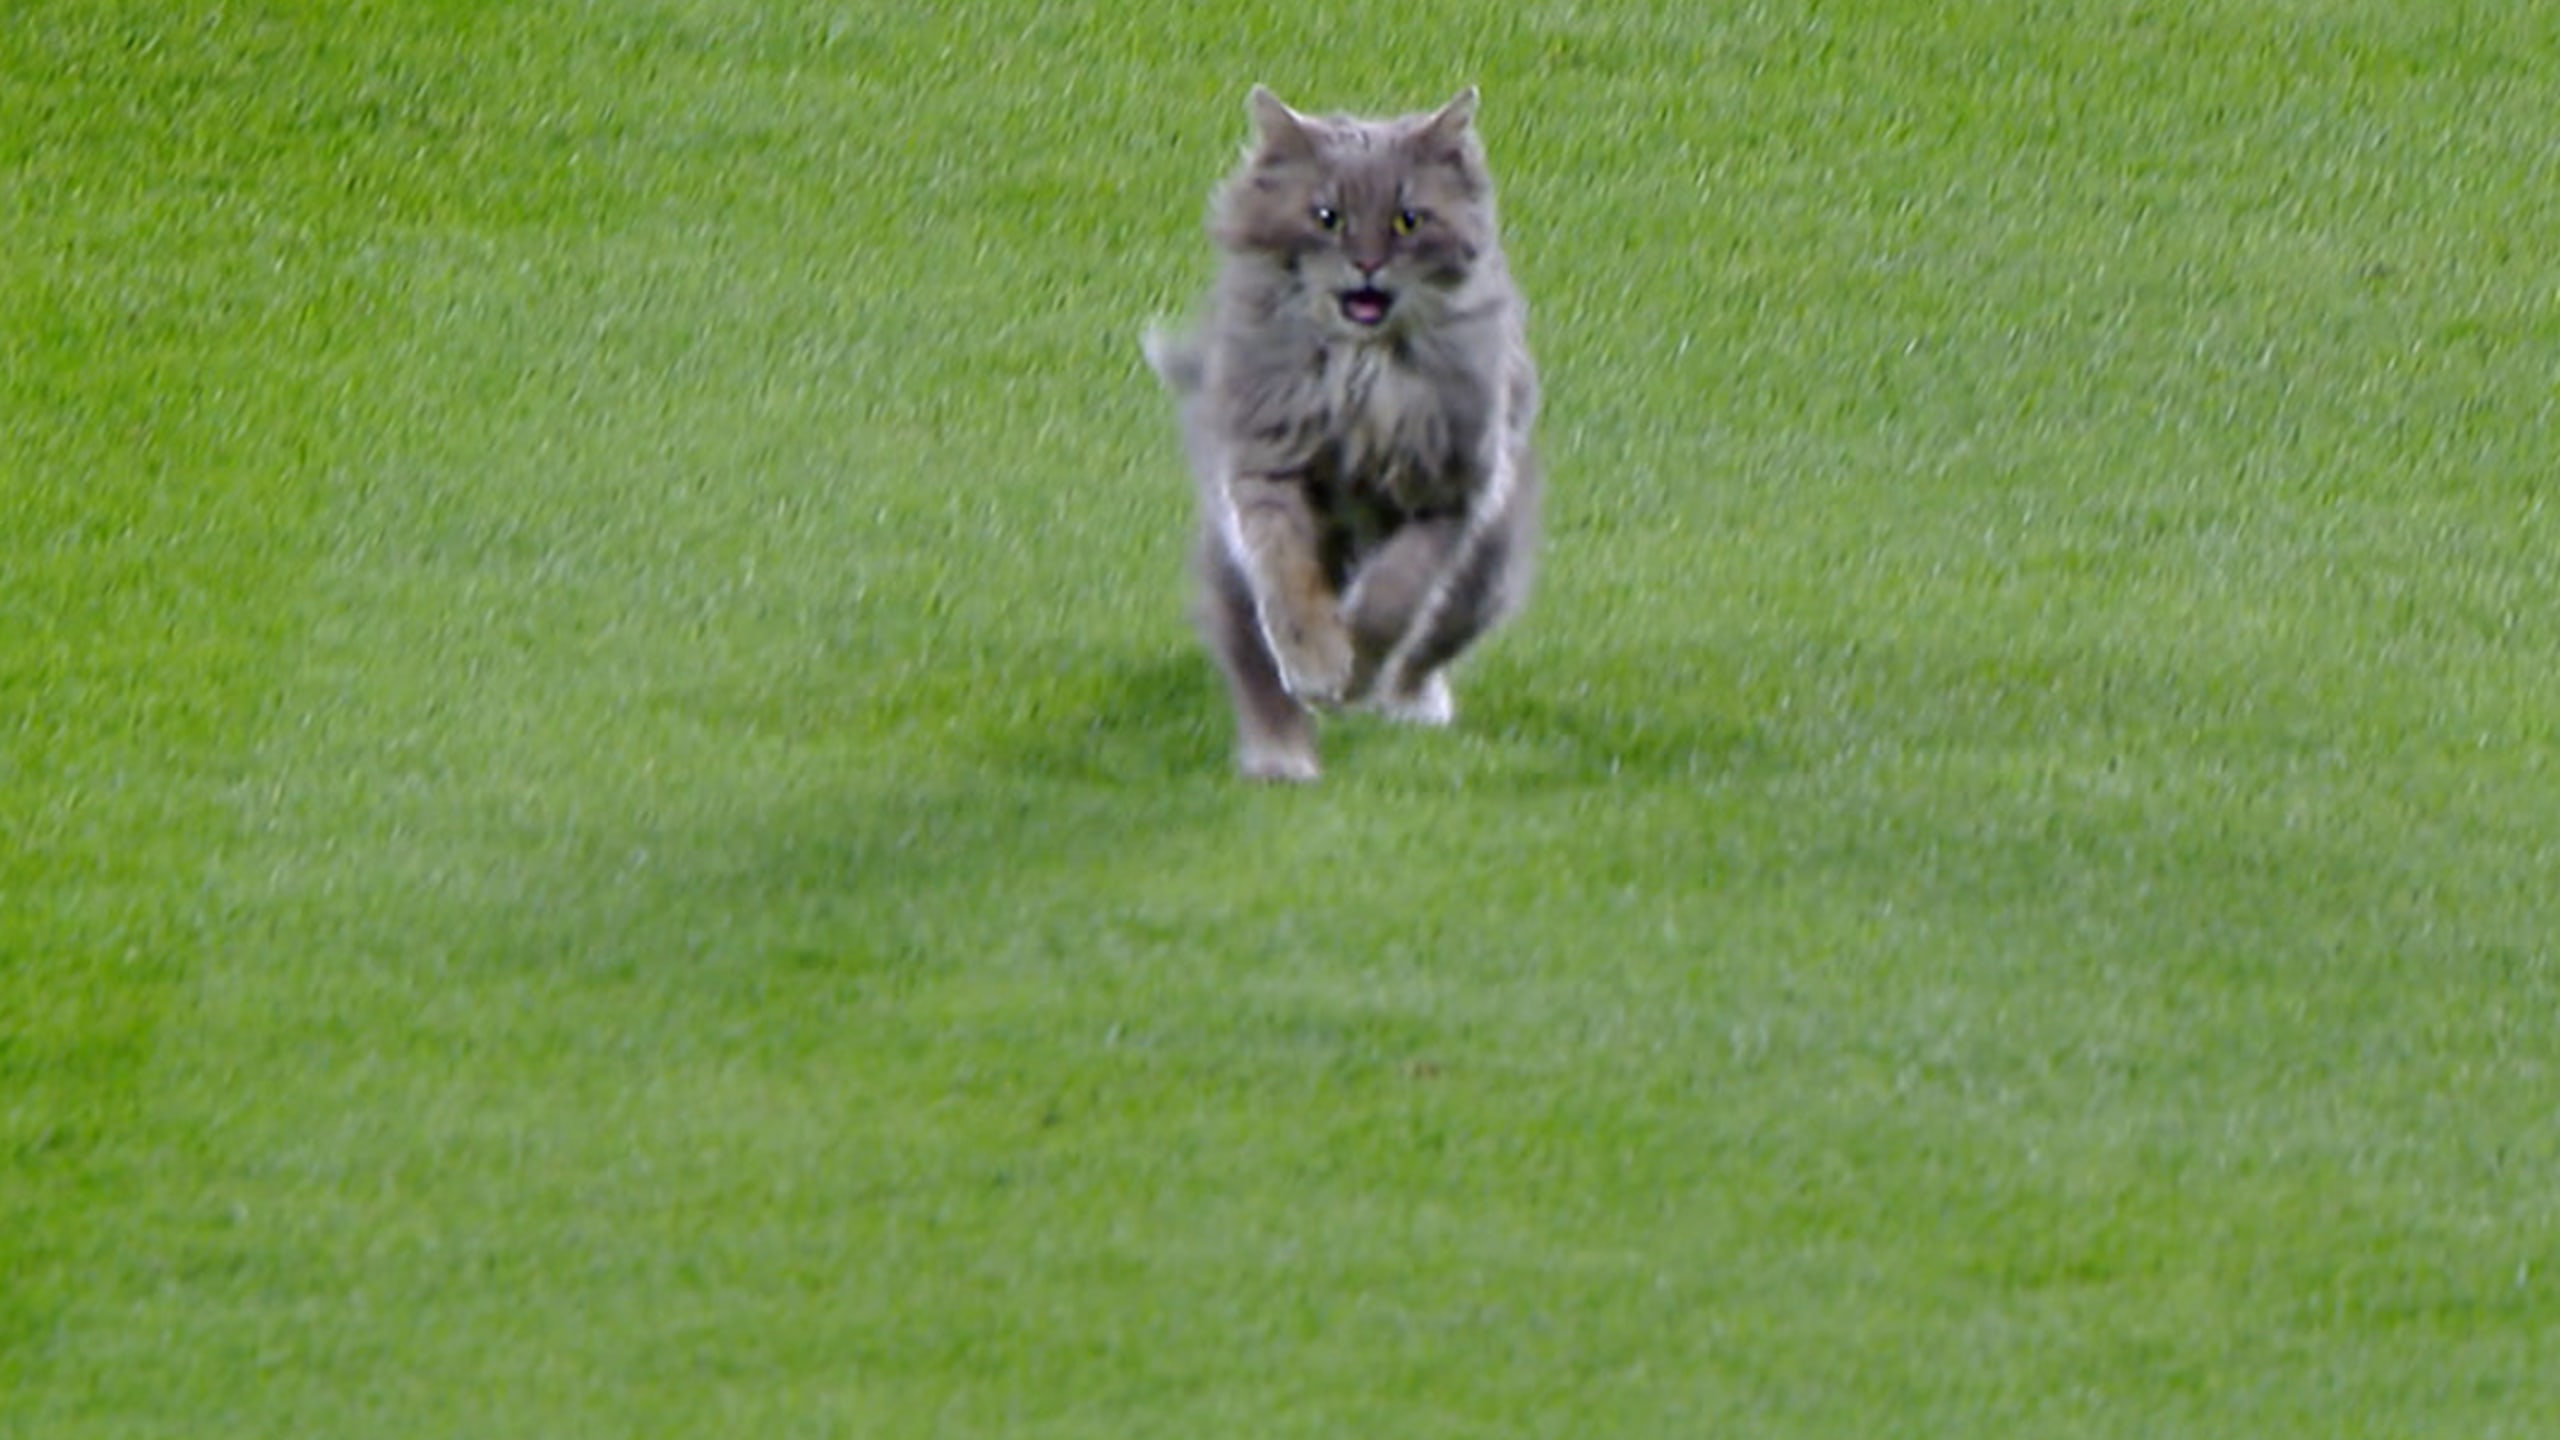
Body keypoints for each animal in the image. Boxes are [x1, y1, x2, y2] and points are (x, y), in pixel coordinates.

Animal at [1146, 83, 1536, 778]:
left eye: (1408, 220)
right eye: (1327, 216)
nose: (1368, 264)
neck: (1362, 374)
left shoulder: (1450, 492)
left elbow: (1394, 597)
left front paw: (1354, 673)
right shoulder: (1264, 470)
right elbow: (1289, 585)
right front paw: (1319, 665)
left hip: (1486, 574)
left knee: (1428, 647)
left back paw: (1408, 703)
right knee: (1253, 666)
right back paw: (1281, 760)